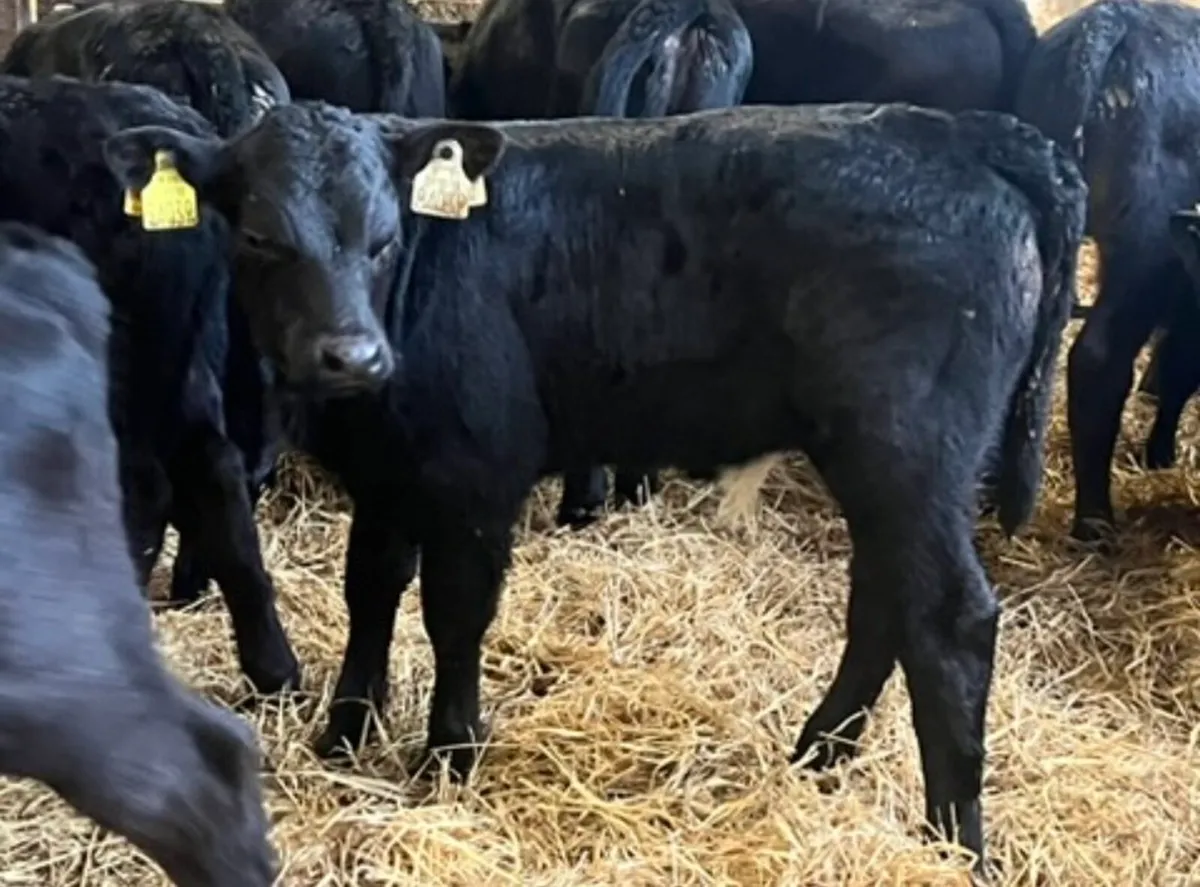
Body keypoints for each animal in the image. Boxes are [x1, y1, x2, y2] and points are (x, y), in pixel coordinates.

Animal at [102, 100, 1086, 867]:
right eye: (259, 236)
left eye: (382, 239)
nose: (352, 355)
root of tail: (969, 130)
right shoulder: (388, 473)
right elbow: (370, 589)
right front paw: (345, 729)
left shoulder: (476, 471)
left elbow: (454, 611)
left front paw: (449, 754)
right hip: (884, 463)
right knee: (887, 598)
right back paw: (818, 753)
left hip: (909, 449)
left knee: (951, 620)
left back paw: (953, 843)